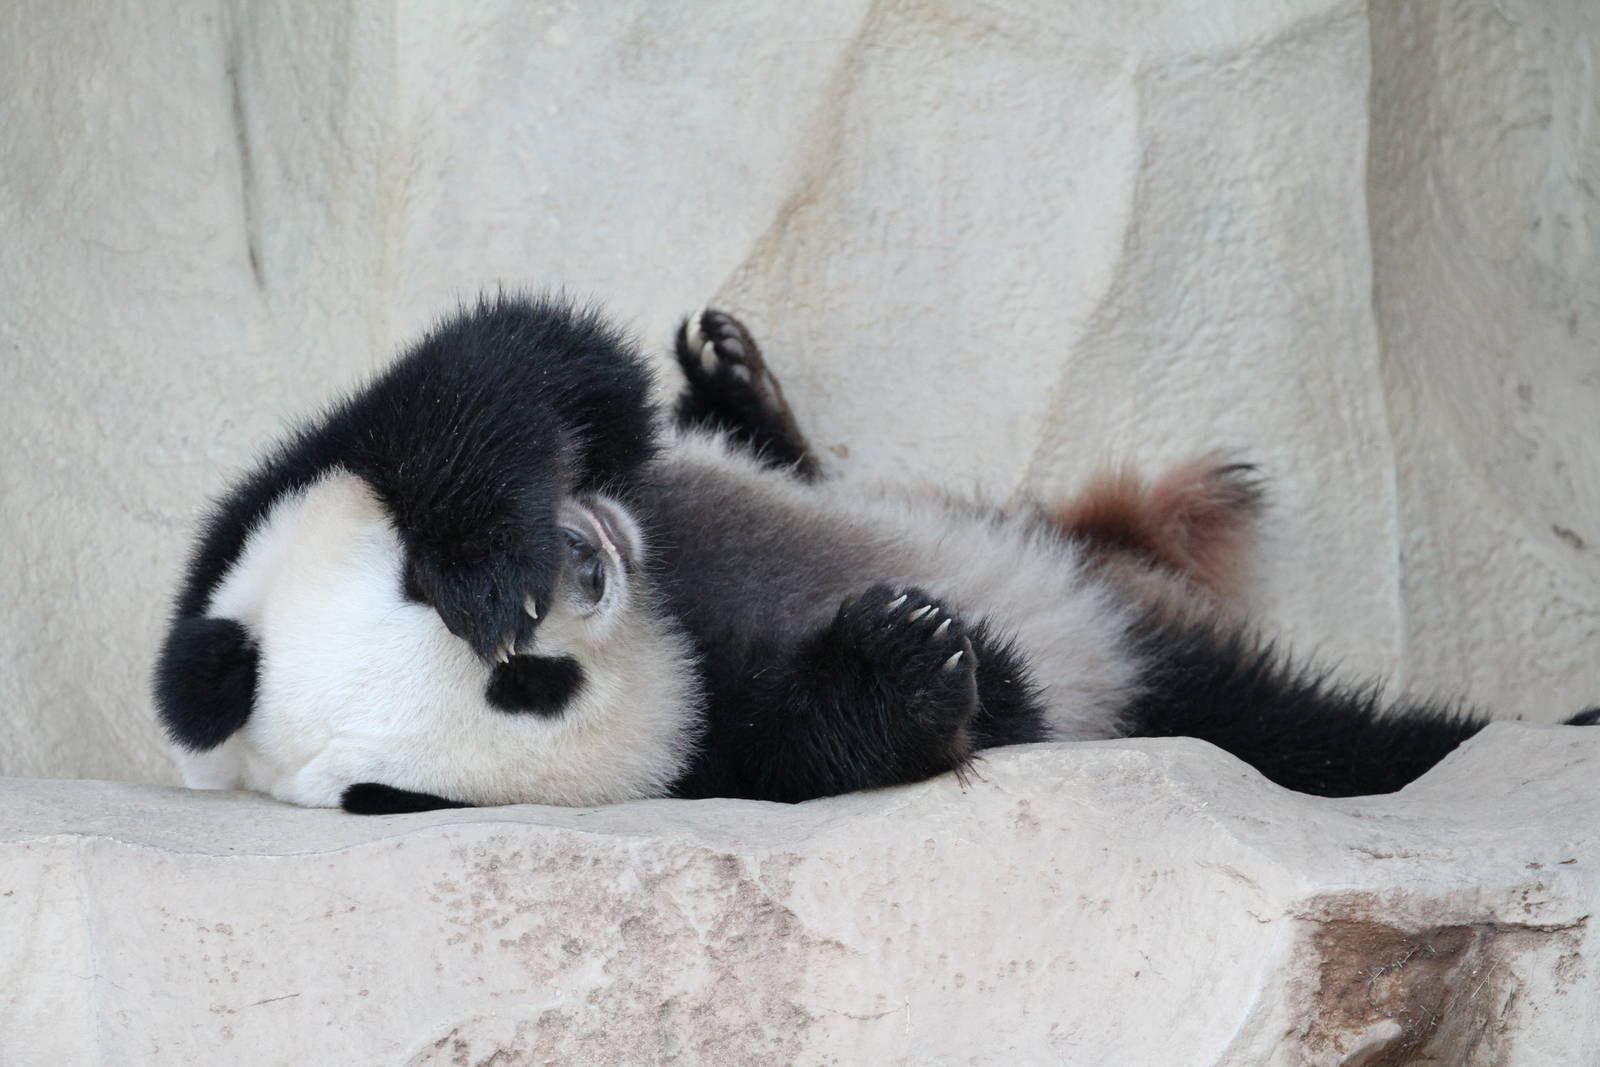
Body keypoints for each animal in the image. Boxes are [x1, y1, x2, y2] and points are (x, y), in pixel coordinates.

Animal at [154, 295, 1599, 813]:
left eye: (417, 581)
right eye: (530, 688)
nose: (581, 567)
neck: (673, 598)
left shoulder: (284, 479)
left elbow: (520, 367)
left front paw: (490, 547)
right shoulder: (714, 761)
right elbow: (899, 730)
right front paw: (914, 653)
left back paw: (739, 387)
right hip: (1163, 688)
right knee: (1325, 734)